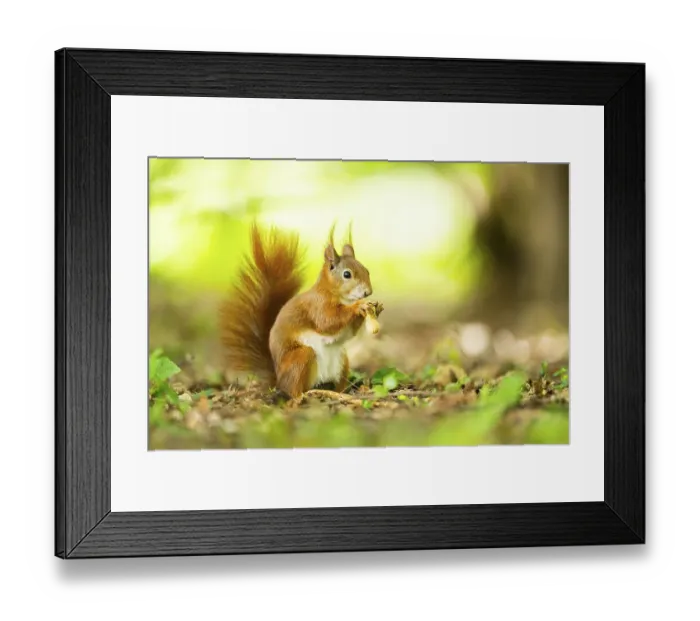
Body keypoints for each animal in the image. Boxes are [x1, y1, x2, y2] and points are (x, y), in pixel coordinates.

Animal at [219, 223, 375, 398]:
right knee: (293, 388)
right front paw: (358, 306)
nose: (368, 292)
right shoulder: (317, 306)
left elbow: (346, 333)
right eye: (347, 274)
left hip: (342, 361)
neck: (336, 295)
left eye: (366, 270)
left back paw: (348, 391)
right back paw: (301, 396)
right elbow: (327, 321)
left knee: (337, 384)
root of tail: (277, 380)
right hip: (301, 358)